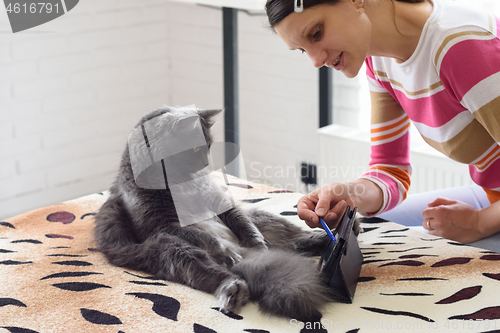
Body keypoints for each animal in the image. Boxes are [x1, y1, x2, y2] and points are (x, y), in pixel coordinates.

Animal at [94, 106, 356, 322]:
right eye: (195, 148)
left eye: (208, 145)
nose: (206, 164)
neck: (177, 181)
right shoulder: (160, 225)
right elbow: (206, 238)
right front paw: (223, 250)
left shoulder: (222, 202)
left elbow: (244, 225)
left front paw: (256, 243)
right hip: (170, 247)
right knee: (215, 271)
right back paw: (234, 288)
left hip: (262, 217)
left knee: (292, 241)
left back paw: (335, 233)